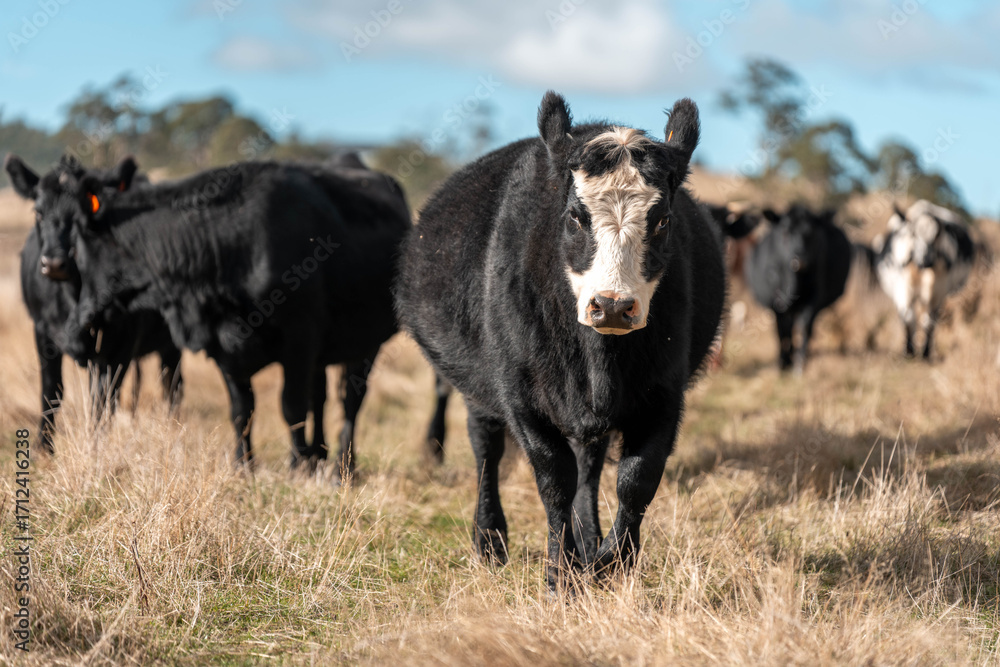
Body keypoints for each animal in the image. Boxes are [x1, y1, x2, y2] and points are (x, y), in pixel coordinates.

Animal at [6, 154, 183, 452]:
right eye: (38, 212)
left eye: (83, 214)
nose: (54, 263)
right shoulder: (43, 332)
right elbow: (51, 391)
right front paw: (44, 448)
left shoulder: (121, 345)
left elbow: (104, 399)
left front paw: (97, 447)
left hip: (171, 341)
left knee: (172, 385)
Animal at [396, 91, 726, 591]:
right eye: (575, 216)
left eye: (663, 220)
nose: (612, 306)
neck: (596, 361)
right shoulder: (522, 398)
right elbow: (554, 479)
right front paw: (560, 572)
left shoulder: (665, 395)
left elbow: (635, 479)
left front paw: (610, 562)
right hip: (479, 391)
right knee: (487, 449)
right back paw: (490, 539)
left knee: (589, 465)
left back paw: (589, 541)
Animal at [744, 204, 852, 373]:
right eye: (785, 232)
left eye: (811, 233)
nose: (799, 259)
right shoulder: (777, 304)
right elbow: (783, 331)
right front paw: (784, 362)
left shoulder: (814, 299)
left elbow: (804, 326)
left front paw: (800, 364)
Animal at [874, 200, 974, 359]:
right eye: (914, 234)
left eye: (936, 236)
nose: (924, 261)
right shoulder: (903, 289)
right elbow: (909, 318)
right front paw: (909, 351)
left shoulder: (938, 292)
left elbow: (929, 321)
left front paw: (926, 352)